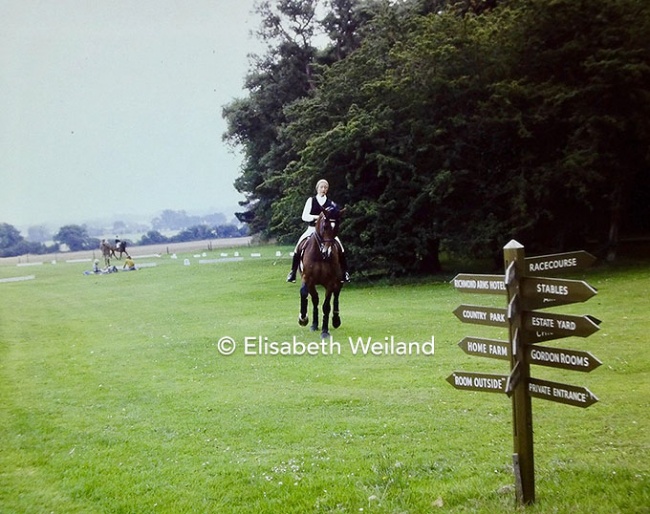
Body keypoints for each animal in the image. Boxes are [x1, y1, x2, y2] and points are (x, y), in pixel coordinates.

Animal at [294, 204, 342, 340]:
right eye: (325, 226)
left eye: (337, 227)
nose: (327, 252)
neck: (320, 255)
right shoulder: (308, 279)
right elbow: (306, 295)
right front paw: (304, 319)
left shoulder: (331, 282)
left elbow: (326, 306)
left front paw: (325, 331)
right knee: (314, 299)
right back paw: (314, 324)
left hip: (339, 281)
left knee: (336, 297)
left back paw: (336, 321)